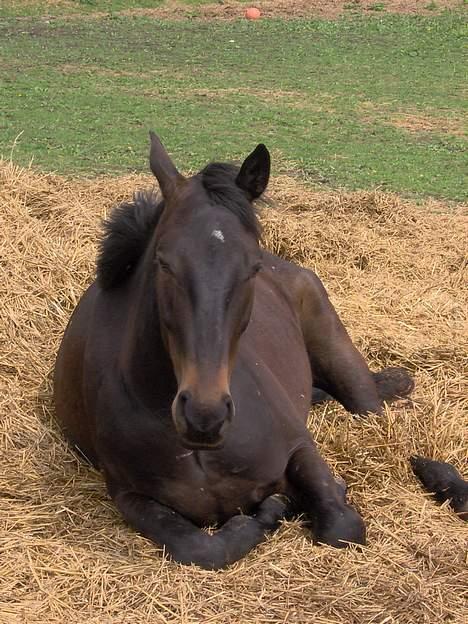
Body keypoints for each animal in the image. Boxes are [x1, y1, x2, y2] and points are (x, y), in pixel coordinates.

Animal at [54, 133, 458, 572]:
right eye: (163, 261)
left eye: (252, 266)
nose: (205, 416)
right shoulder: (129, 496)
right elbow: (202, 548)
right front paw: (268, 512)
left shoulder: (299, 446)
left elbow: (342, 527)